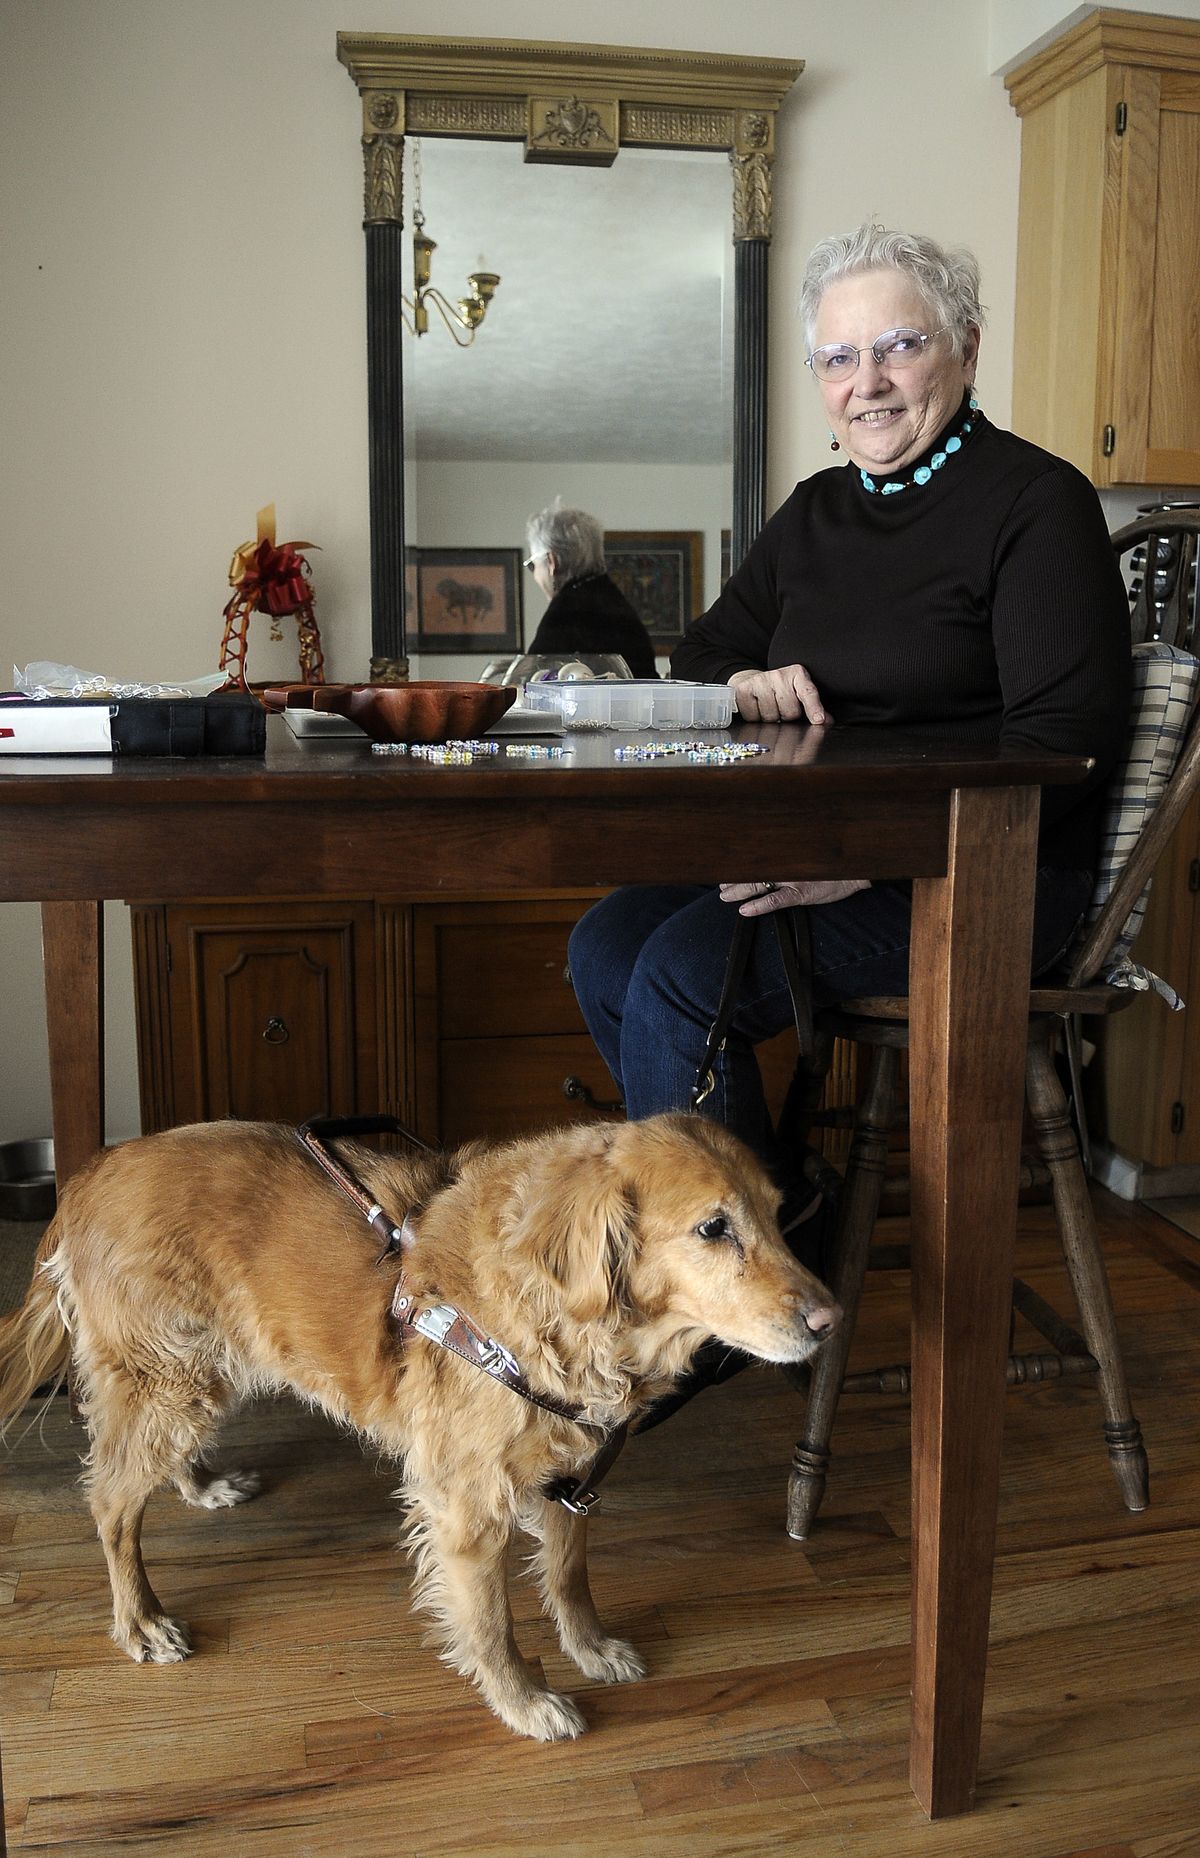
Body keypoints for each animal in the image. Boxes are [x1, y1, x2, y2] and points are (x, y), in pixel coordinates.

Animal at [0, 1107, 843, 1731]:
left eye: (777, 1217)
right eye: (713, 1228)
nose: (833, 1321)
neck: (554, 1318)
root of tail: (90, 1174)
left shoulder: (571, 1481)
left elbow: (570, 1579)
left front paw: (591, 1647)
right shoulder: (467, 1505)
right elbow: (492, 1622)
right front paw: (523, 1701)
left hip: (199, 1375)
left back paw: (200, 1483)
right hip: (172, 1381)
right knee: (111, 1504)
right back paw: (140, 1619)